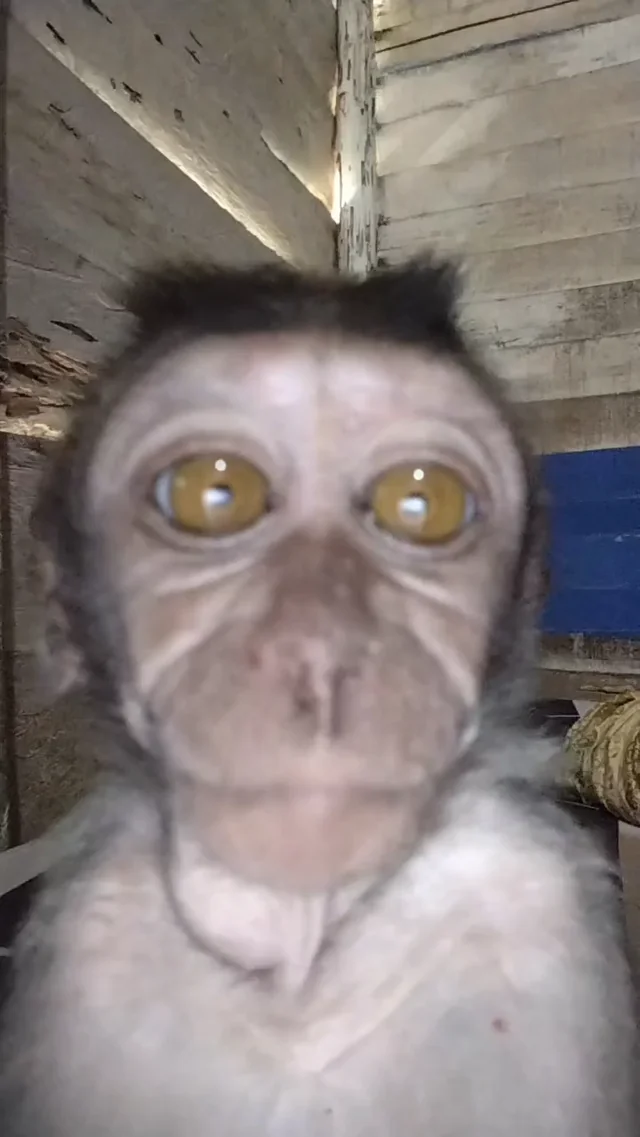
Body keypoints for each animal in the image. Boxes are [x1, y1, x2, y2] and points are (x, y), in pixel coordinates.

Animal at [0, 256, 636, 1137]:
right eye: (211, 492)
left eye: (422, 502)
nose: (319, 650)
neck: (295, 954)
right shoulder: (89, 944)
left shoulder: (533, 901)